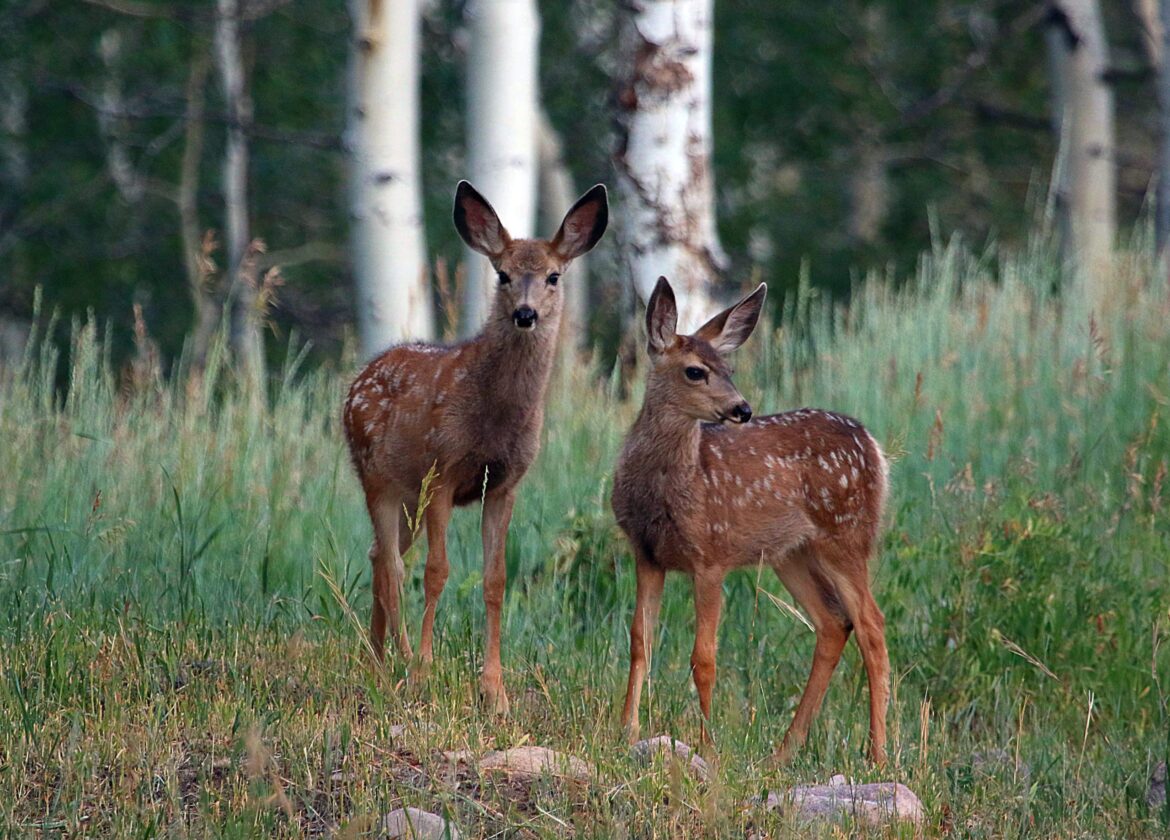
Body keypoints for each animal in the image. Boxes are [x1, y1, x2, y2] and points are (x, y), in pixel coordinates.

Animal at [343, 180, 608, 714]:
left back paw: (377, 661)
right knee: (393, 565)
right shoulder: (443, 472)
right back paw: (400, 660)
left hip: (407, 497)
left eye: (553, 276)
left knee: (379, 555)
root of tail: (357, 381)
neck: (493, 418)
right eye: (502, 274)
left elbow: (496, 579)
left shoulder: (504, 484)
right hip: (377, 478)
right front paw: (424, 672)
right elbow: (437, 571)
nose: (525, 313)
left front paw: (495, 692)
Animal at [611, 276, 891, 765]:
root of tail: (874, 446)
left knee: (872, 628)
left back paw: (877, 755)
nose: (742, 409)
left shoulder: (711, 553)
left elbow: (704, 657)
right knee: (834, 623)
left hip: (846, 535)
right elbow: (639, 642)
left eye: (729, 369)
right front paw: (626, 731)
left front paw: (707, 745)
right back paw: (785, 750)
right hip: (791, 553)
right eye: (695, 371)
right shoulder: (647, 553)